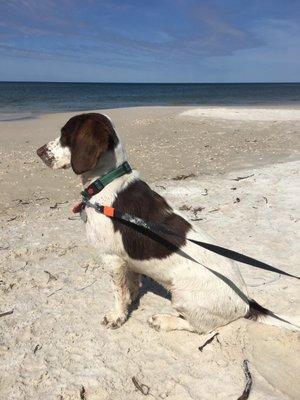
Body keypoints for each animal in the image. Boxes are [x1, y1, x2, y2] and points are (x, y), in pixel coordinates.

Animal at [37, 113, 288, 334]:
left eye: (65, 135)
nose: (38, 152)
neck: (106, 181)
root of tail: (246, 302)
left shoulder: (112, 259)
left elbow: (118, 292)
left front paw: (117, 315)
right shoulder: (128, 262)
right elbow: (131, 285)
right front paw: (131, 300)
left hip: (183, 297)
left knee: (199, 328)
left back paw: (163, 321)